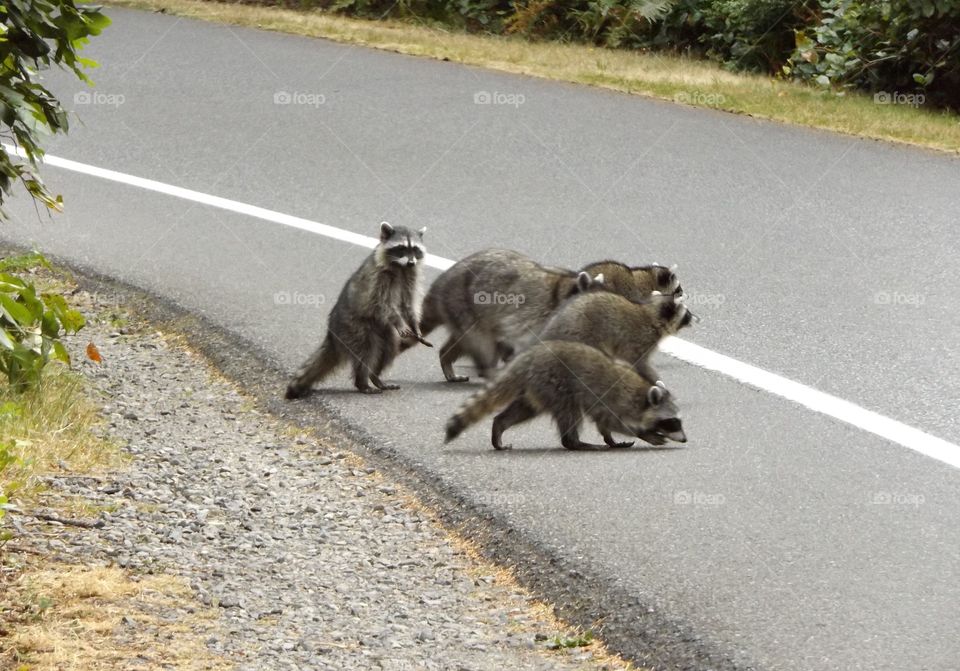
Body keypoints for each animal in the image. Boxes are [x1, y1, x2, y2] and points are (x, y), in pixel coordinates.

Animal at [285, 222, 428, 398]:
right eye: (401, 248)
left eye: (415, 249)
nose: (411, 262)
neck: (401, 267)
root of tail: (332, 333)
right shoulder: (378, 278)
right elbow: (382, 303)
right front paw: (399, 321)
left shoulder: (411, 278)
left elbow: (408, 304)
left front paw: (415, 324)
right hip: (355, 325)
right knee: (366, 351)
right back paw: (363, 381)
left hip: (382, 328)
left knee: (390, 346)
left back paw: (375, 376)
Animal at [417, 249, 604, 382]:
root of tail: (439, 286)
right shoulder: (537, 315)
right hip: (463, 307)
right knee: (482, 342)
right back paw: (489, 371)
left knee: (462, 343)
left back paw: (446, 357)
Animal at [444, 340, 687, 450]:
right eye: (673, 422)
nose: (685, 438)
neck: (642, 396)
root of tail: (530, 357)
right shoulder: (614, 400)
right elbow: (613, 421)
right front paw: (646, 433)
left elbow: (604, 424)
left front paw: (610, 439)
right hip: (556, 383)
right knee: (570, 412)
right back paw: (575, 442)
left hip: (537, 387)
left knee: (524, 409)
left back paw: (499, 425)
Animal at [539, 291, 697, 384]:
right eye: (687, 314)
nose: (698, 319)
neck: (653, 314)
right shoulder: (641, 340)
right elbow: (639, 363)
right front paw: (656, 381)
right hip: (582, 333)